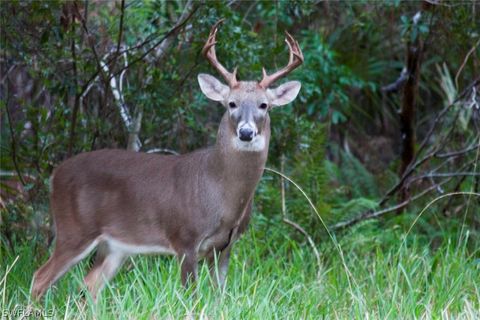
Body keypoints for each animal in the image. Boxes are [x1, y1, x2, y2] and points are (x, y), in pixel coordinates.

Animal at [31, 20, 304, 300]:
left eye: (264, 105)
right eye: (231, 103)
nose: (246, 132)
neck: (222, 193)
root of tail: (54, 175)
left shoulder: (225, 246)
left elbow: (219, 296)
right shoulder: (185, 238)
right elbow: (191, 295)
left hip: (114, 246)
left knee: (89, 285)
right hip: (75, 229)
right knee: (40, 277)